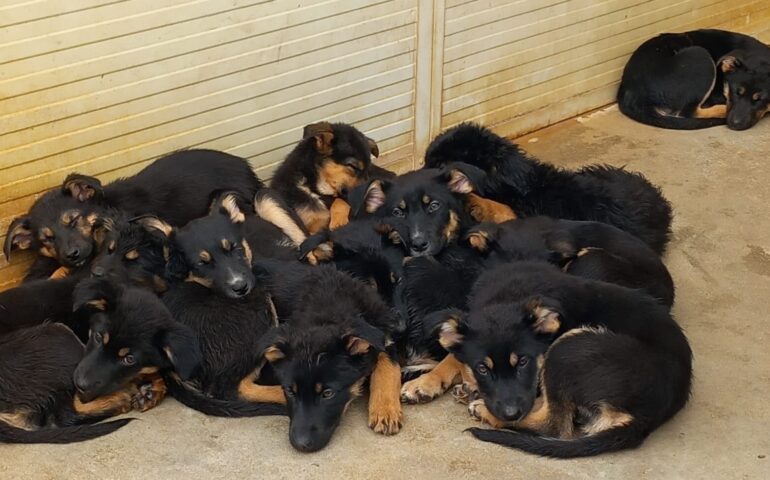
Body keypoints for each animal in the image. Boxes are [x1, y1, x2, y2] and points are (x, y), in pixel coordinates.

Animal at [256, 262, 404, 454]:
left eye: (328, 393)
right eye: (290, 391)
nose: (300, 445)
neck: (328, 312)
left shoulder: (382, 335)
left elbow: (389, 366)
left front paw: (385, 409)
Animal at [420, 262, 688, 458]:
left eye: (524, 362)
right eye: (483, 368)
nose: (509, 414)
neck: (509, 298)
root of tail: (646, 418)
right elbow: (452, 355)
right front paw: (426, 383)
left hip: (568, 348)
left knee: (554, 425)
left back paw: (484, 410)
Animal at [616, 29, 770, 130]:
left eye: (760, 99)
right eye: (735, 92)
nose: (734, 125)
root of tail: (629, 92)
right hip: (701, 56)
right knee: (689, 113)